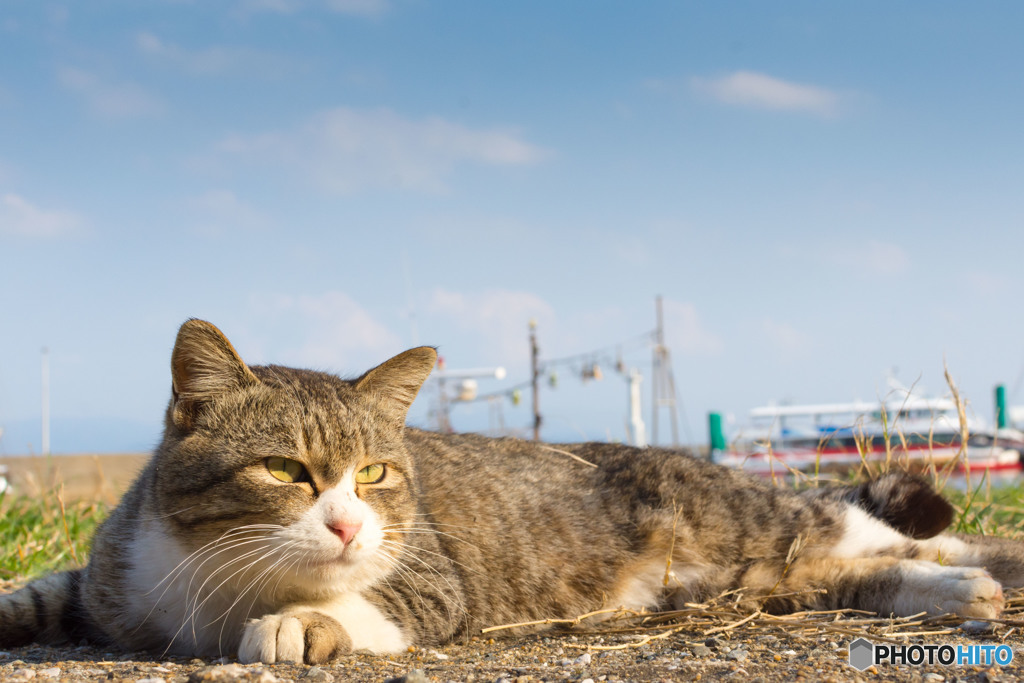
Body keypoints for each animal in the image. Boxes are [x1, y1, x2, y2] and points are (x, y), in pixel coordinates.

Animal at [2, 323, 1024, 663]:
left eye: (375, 473)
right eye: (286, 471)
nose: (348, 522)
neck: (207, 577)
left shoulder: (431, 579)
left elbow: (366, 602)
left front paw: (298, 621)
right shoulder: (104, 579)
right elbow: (37, 594)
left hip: (757, 523)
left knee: (890, 529)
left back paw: (978, 573)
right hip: (754, 579)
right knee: (866, 564)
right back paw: (957, 589)